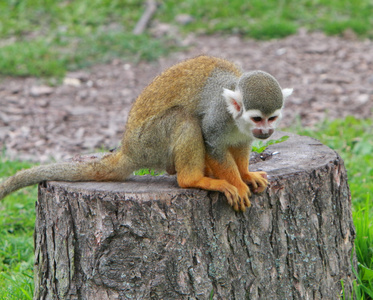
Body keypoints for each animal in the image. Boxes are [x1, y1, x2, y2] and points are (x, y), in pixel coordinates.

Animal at [0, 55, 290, 211]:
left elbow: (241, 145)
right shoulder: (218, 116)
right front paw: (237, 183)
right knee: (185, 120)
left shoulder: (245, 133)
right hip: (150, 141)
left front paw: (246, 174)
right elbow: (212, 144)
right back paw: (194, 179)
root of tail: (128, 149)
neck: (236, 119)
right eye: (257, 118)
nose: (266, 130)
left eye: (272, 117)